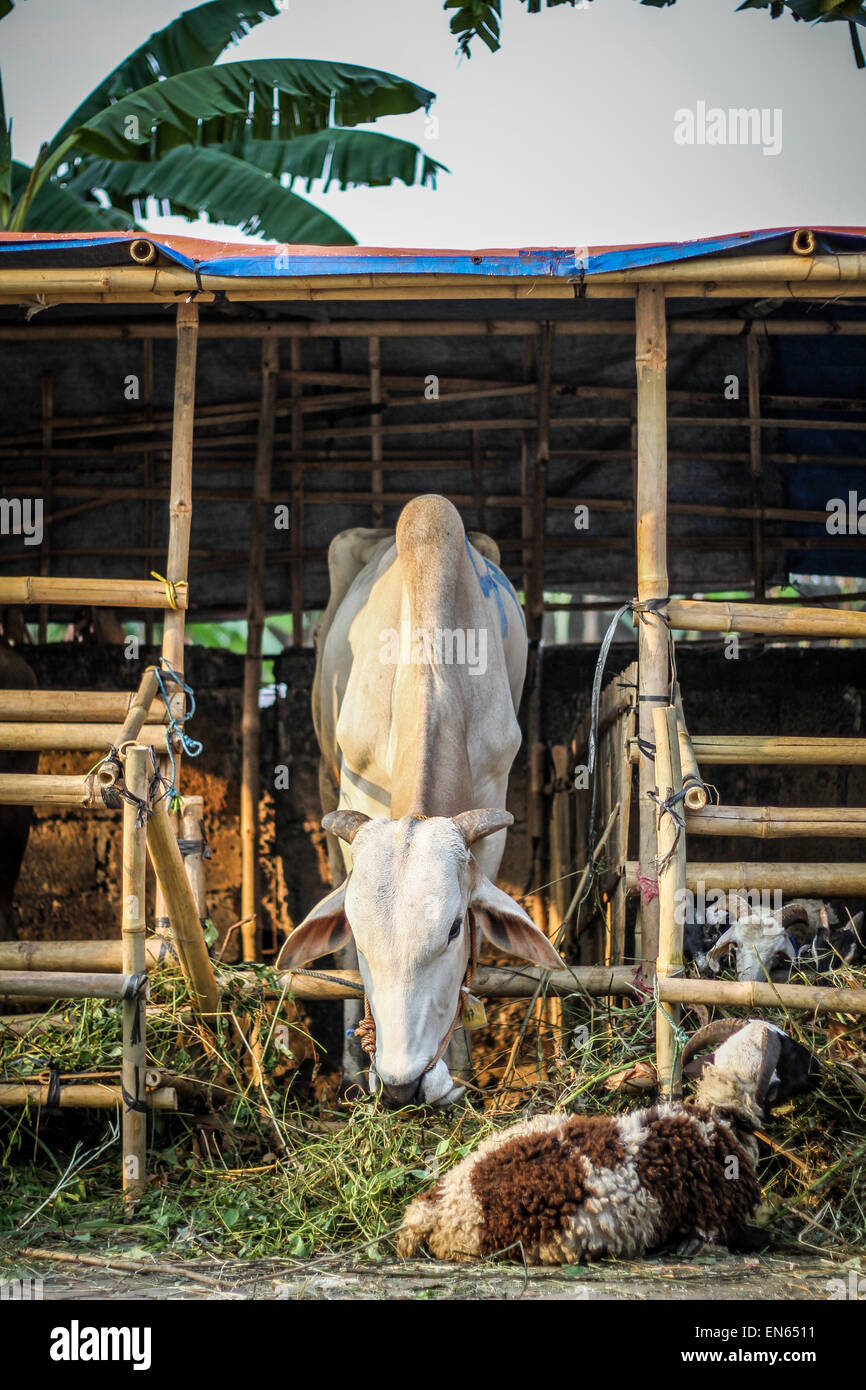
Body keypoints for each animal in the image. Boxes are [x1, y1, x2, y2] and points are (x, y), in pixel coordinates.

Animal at [278, 494, 561, 1100]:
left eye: (452, 928)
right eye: (360, 931)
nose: (402, 1085)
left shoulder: (493, 798)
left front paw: (460, 1067)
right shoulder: (354, 787)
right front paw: (357, 1067)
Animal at [397, 1017, 817, 1267]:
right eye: (790, 1051)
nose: (820, 1069)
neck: (721, 1117)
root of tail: (440, 1203)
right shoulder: (724, 1219)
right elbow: (761, 1237)